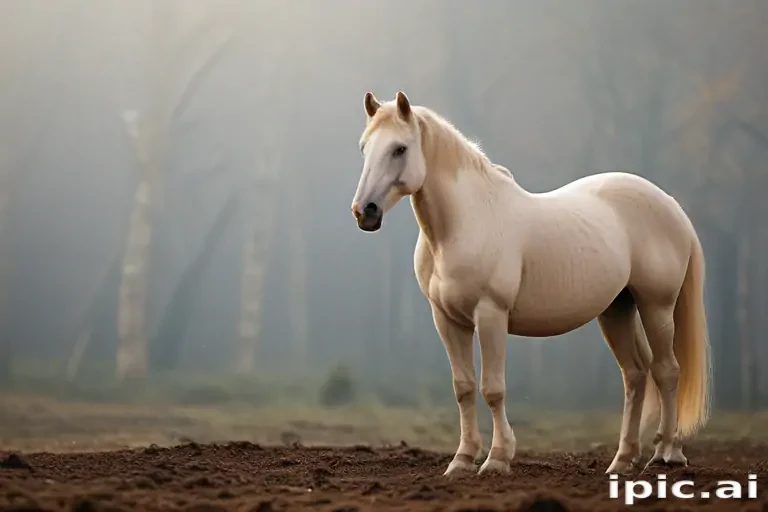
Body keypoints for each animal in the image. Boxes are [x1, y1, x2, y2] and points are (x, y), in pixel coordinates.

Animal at [349, 91, 711, 477]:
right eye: (364, 147)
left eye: (400, 149)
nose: (364, 211)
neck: (465, 222)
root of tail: (671, 206)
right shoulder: (447, 320)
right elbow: (463, 388)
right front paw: (462, 460)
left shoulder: (490, 315)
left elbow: (492, 389)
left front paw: (497, 458)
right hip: (617, 309)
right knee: (636, 374)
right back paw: (623, 460)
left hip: (657, 306)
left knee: (667, 371)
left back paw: (666, 454)